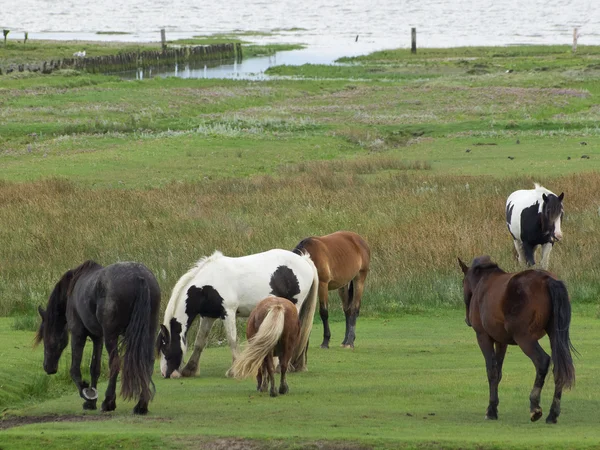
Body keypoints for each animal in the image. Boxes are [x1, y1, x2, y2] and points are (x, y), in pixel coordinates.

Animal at [36, 260, 161, 414]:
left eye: (45, 337)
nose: (48, 367)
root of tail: (139, 276)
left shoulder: (78, 334)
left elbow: (74, 369)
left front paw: (86, 392)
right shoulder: (98, 337)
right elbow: (94, 368)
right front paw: (91, 402)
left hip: (111, 336)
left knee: (115, 363)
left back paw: (108, 402)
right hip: (148, 331)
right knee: (147, 363)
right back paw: (141, 405)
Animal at [157, 250, 322, 380]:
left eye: (165, 348)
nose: (165, 374)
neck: (208, 284)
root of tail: (304, 261)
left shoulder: (228, 312)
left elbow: (232, 340)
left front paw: (234, 370)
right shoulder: (208, 316)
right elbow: (199, 342)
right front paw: (190, 369)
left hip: (294, 307)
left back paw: (279, 366)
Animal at [460, 255, 576, 424]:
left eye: (463, 283)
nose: (467, 320)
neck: (484, 282)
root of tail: (547, 279)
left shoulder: (483, 337)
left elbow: (492, 372)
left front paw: (491, 410)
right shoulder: (501, 342)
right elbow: (498, 372)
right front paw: (494, 406)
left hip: (524, 339)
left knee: (542, 361)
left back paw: (535, 406)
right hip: (555, 336)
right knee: (558, 369)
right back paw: (552, 414)